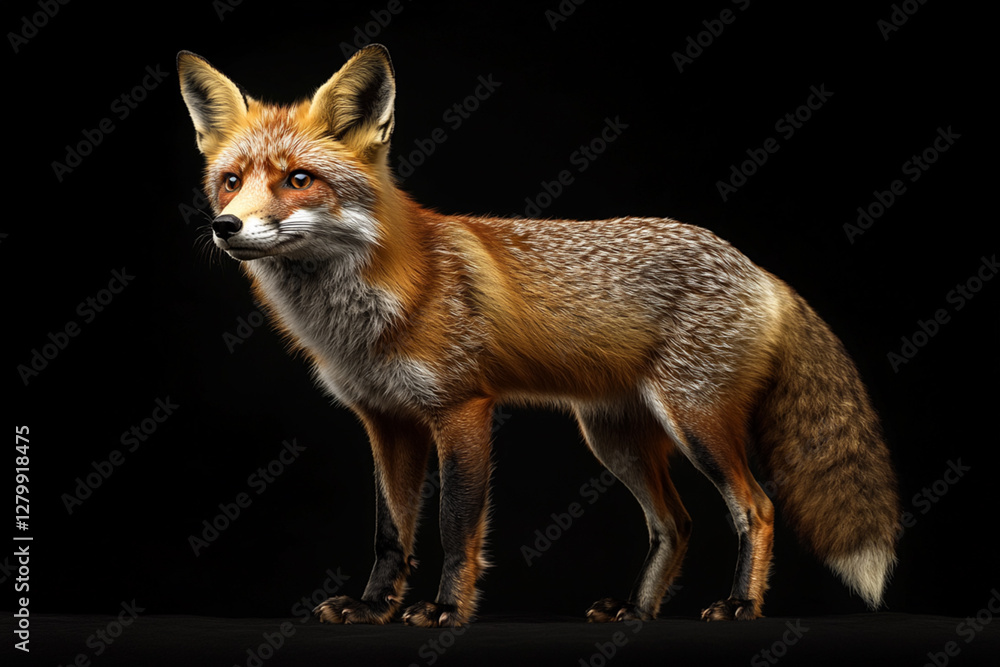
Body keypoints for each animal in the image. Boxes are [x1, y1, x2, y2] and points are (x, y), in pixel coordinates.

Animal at [177, 45, 900, 627]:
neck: (367, 313)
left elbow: (455, 528)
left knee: (757, 507)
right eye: (231, 181)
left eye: (299, 179)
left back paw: (741, 605)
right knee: (676, 523)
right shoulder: (387, 423)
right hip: (614, 439)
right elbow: (391, 535)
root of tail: (757, 268)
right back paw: (637, 610)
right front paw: (374, 607)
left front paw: (443, 610)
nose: (225, 226)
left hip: (696, 423)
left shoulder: (461, 409)